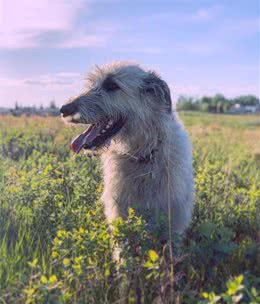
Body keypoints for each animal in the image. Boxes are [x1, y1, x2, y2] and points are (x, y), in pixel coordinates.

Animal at [61, 61, 194, 233]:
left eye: (111, 85)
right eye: (91, 84)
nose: (64, 109)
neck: (142, 154)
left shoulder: (174, 218)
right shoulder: (118, 211)